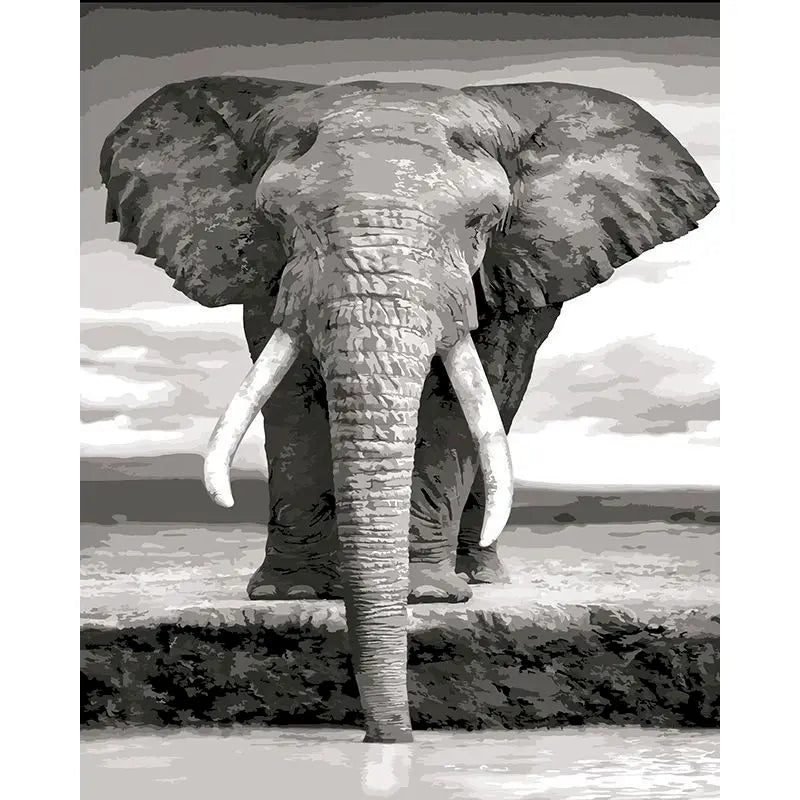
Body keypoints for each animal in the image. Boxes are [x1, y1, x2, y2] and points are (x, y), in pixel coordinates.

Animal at [100, 76, 717, 743]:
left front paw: (425, 599)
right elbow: (292, 397)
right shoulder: (270, 276)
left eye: (483, 221)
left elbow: (450, 406)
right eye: (277, 217)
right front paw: (292, 595)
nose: (390, 737)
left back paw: (476, 578)